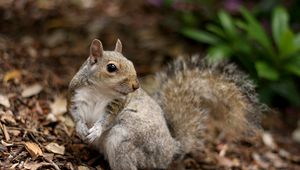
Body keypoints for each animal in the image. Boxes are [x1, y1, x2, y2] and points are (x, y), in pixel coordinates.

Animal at [67, 38, 262, 170]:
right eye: (111, 68)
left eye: (131, 63)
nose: (136, 86)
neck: (99, 91)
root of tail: (172, 150)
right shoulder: (77, 97)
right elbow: (75, 115)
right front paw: (81, 128)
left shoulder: (117, 105)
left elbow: (106, 120)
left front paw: (96, 130)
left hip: (124, 140)